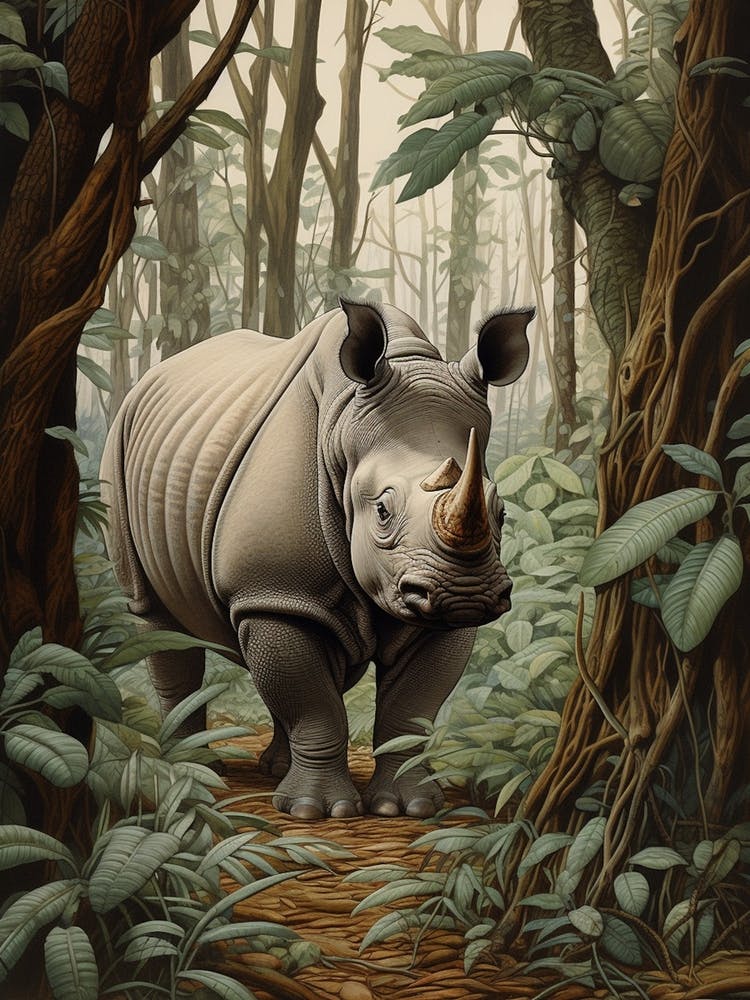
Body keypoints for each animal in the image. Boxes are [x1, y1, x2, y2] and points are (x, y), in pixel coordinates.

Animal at [100, 300, 533, 820]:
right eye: (382, 510)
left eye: (501, 511)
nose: (466, 595)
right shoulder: (275, 591)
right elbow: (314, 706)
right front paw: (319, 812)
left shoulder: (425, 611)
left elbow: (410, 709)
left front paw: (406, 808)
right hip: (120, 447)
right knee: (157, 618)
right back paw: (191, 768)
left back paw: (271, 769)